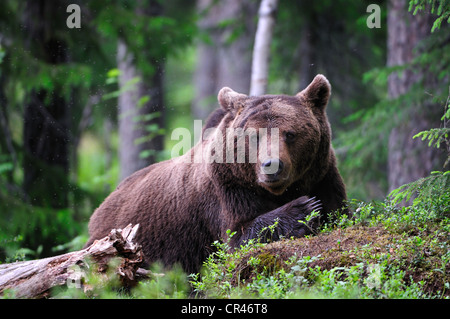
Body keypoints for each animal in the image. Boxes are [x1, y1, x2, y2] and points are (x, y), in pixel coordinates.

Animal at [85, 75, 348, 276]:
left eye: (290, 134)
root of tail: (98, 211)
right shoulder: (228, 190)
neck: (278, 191)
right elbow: (239, 237)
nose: (272, 165)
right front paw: (304, 207)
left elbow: (337, 211)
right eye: (254, 136)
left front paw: (314, 207)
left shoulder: (322, 175)